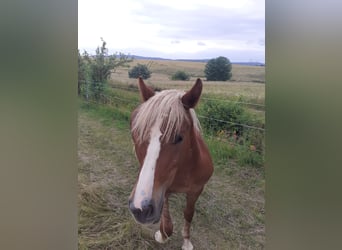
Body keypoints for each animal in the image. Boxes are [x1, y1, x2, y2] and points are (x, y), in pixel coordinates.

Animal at [129, 77, 214, 249]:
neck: (185, 170)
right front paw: (162, 234)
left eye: (179, 137)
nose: (140, 209)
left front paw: (186, 241)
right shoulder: (163, 190)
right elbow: (167, 224)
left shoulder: (196, 190)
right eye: (135, 134)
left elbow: (188, 213)